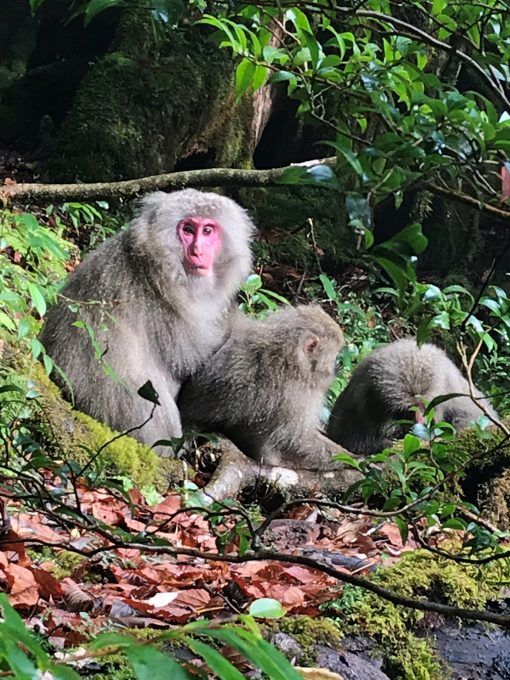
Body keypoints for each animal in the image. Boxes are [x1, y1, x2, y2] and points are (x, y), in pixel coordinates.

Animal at [177, 304, 347, 469]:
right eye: (335, 356)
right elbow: (296, 439)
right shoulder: (295, 395)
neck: (290, 359)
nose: (337, 366)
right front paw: (351, 459)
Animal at [327, 338, 497, 455]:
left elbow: (476, 418)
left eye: (425, 408)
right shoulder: (359, 405)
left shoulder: (453, 390)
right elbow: (352, 442)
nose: (420, 422)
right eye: (406, 412)